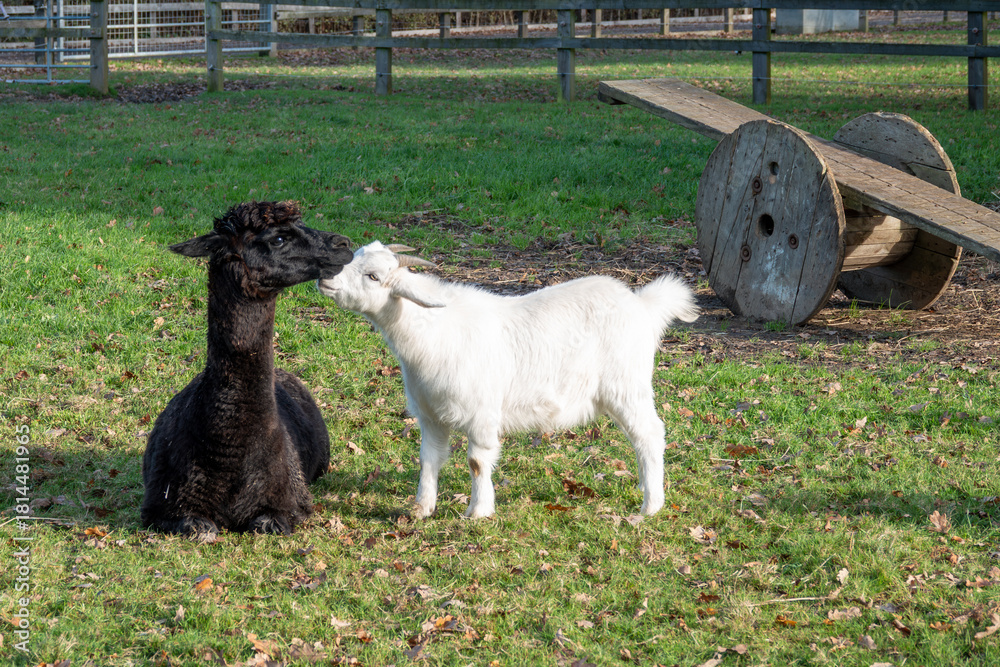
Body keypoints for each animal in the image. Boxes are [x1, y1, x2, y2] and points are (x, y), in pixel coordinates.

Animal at [141, 201, 353, 540]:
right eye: (278, 239)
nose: (343, 244)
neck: (229, 450)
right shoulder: (161, 506)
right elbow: (198, 526)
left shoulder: (290, 502)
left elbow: (268, 523)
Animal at [318, 241, 698, 519]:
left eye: (373, 276)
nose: (325, 276)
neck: (434, 332)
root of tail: (644, 306)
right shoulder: (431, 416)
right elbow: (429, 459)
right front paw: (421, 509)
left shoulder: (481, 414)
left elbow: (476, 461)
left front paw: (478, 511)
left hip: (627, 386)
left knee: (649, 434)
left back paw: (650, 505)